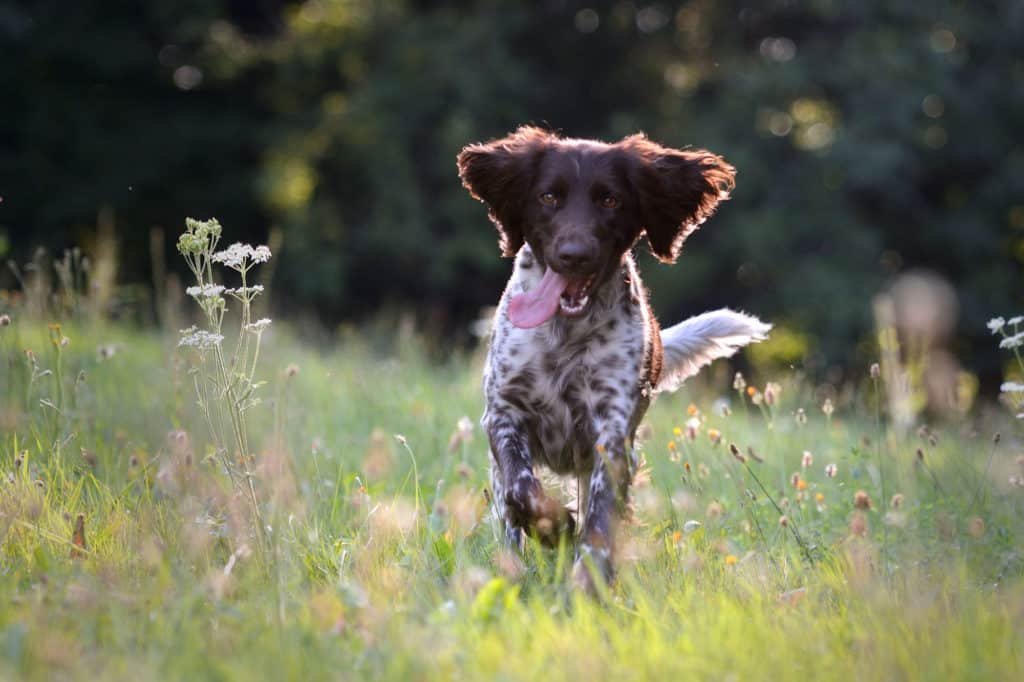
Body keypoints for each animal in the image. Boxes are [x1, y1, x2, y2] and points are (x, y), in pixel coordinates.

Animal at [458, 127, 770, 589]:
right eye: (548, 196)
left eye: (610, 200)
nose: (574, 254)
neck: (565, 336)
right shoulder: (503, 413)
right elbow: (522, 490)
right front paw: (554, 526)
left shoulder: (613, 434)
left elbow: (599, 524)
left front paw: (587, 582)